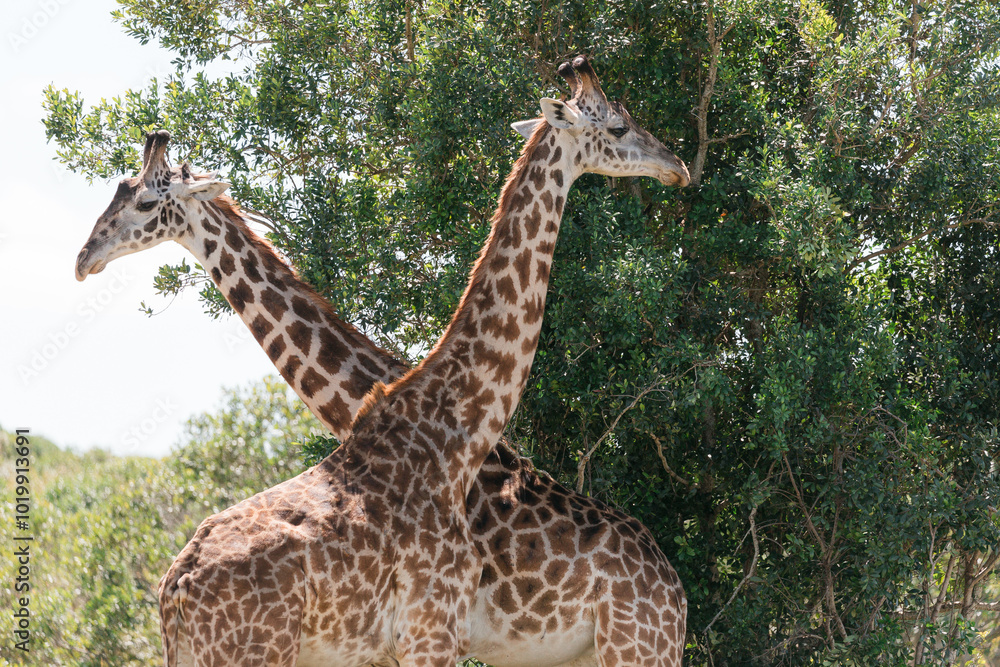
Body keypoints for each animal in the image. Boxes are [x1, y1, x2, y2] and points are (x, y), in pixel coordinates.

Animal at [76, 58, 688, 667]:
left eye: (142, 201)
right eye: (618, 127)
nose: (676, 166)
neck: (451, 428)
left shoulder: (417, 638)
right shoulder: (429, 632)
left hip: (627, 648)